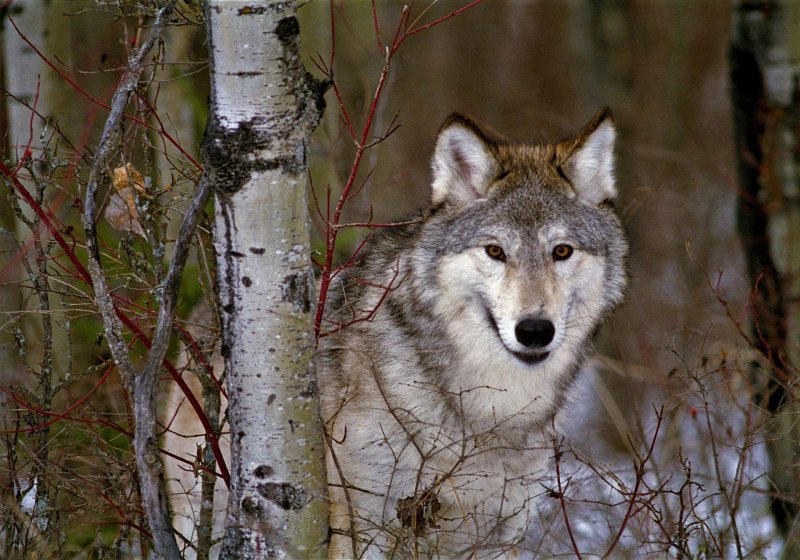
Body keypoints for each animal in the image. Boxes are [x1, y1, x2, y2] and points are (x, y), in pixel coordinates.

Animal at [318, 109, 624, 560]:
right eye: (495, 251)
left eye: (562, 251)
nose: (535, 331)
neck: (492, 414)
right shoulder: (364, 524)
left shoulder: (500, 535)